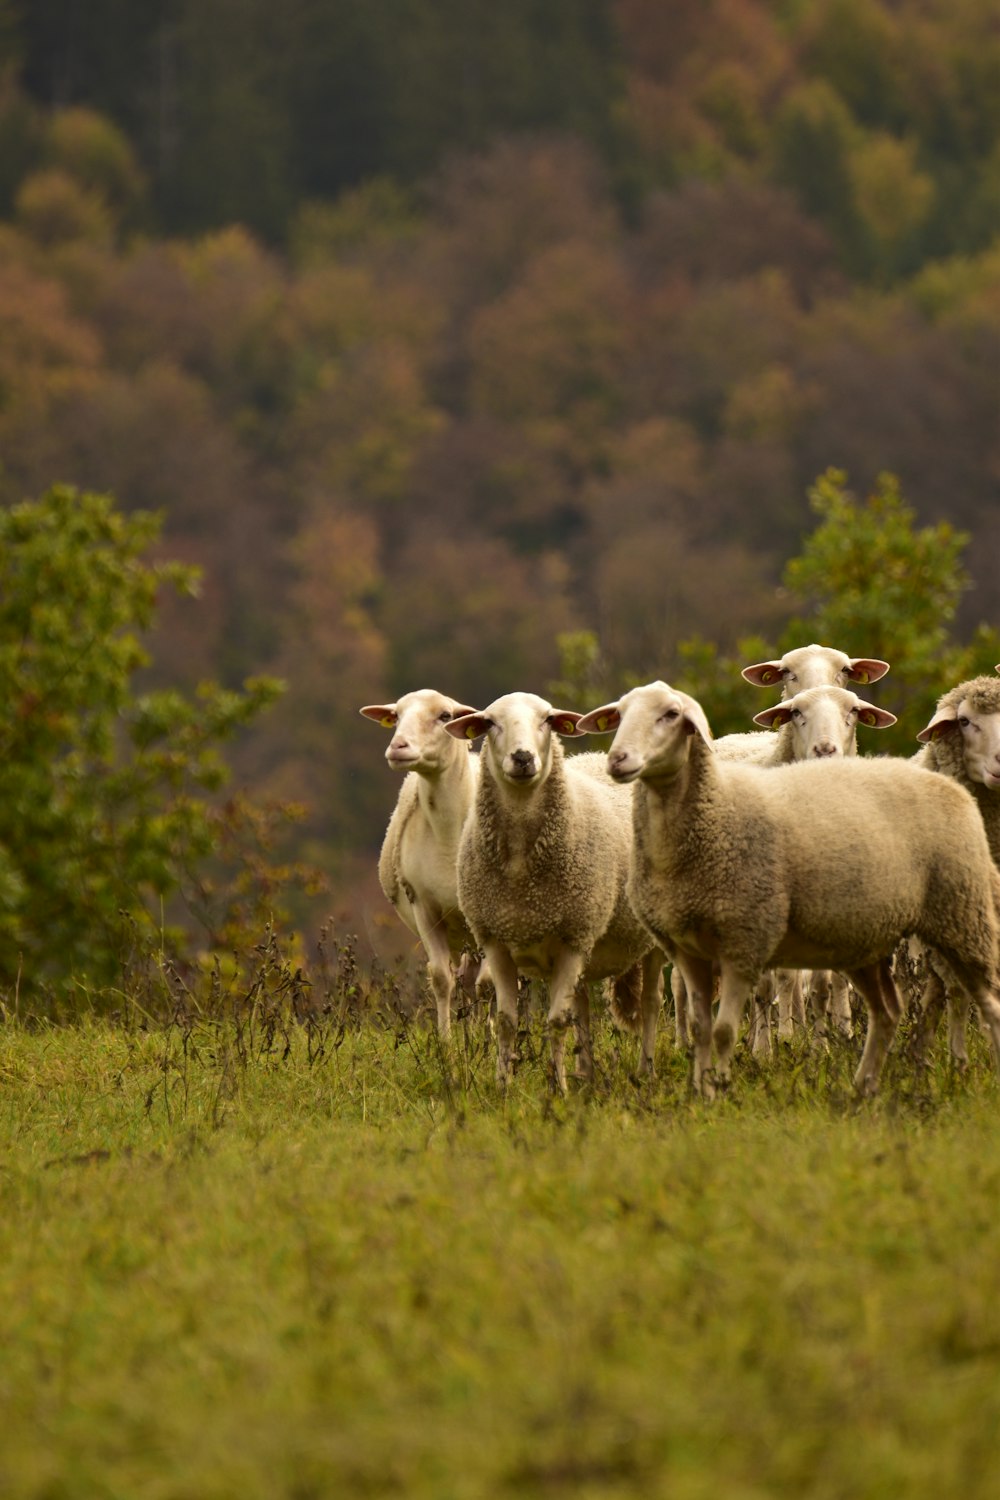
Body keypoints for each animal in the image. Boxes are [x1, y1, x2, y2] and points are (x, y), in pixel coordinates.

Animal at [359, 687, 485, 1032]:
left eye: (445, 716)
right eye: (396, 716)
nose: (397, 747)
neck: (449, 837)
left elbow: (491, 983)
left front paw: (498, 1036)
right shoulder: (425, 907)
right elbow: (441, 979)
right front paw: (447, 1042)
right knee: (465, 978)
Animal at [446, 690, 665, 1092]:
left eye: (547, 720)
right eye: (490, 723)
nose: (522, 757)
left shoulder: (572, 938)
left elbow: (556, 1022)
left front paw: (556, 1088)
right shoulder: (497, 941)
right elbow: (508, 1022)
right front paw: (503, 1086)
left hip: (649, 935)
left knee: (650, 1002)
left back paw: (646, 1071)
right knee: (583, 1006)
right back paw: (587, 1075)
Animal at [575, 687, 1000, 1098]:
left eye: (671, 714)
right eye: (620, 714)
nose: (618, 759)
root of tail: (950, 788)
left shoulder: (745, 940)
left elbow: (725, 1030)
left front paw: (721, 1090)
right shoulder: (688, 949)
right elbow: (701, 1028)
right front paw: (699, 1091)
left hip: (961, 915)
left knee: (988, 999)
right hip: (869, 939)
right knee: (888, 1010)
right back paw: (862, 1088)